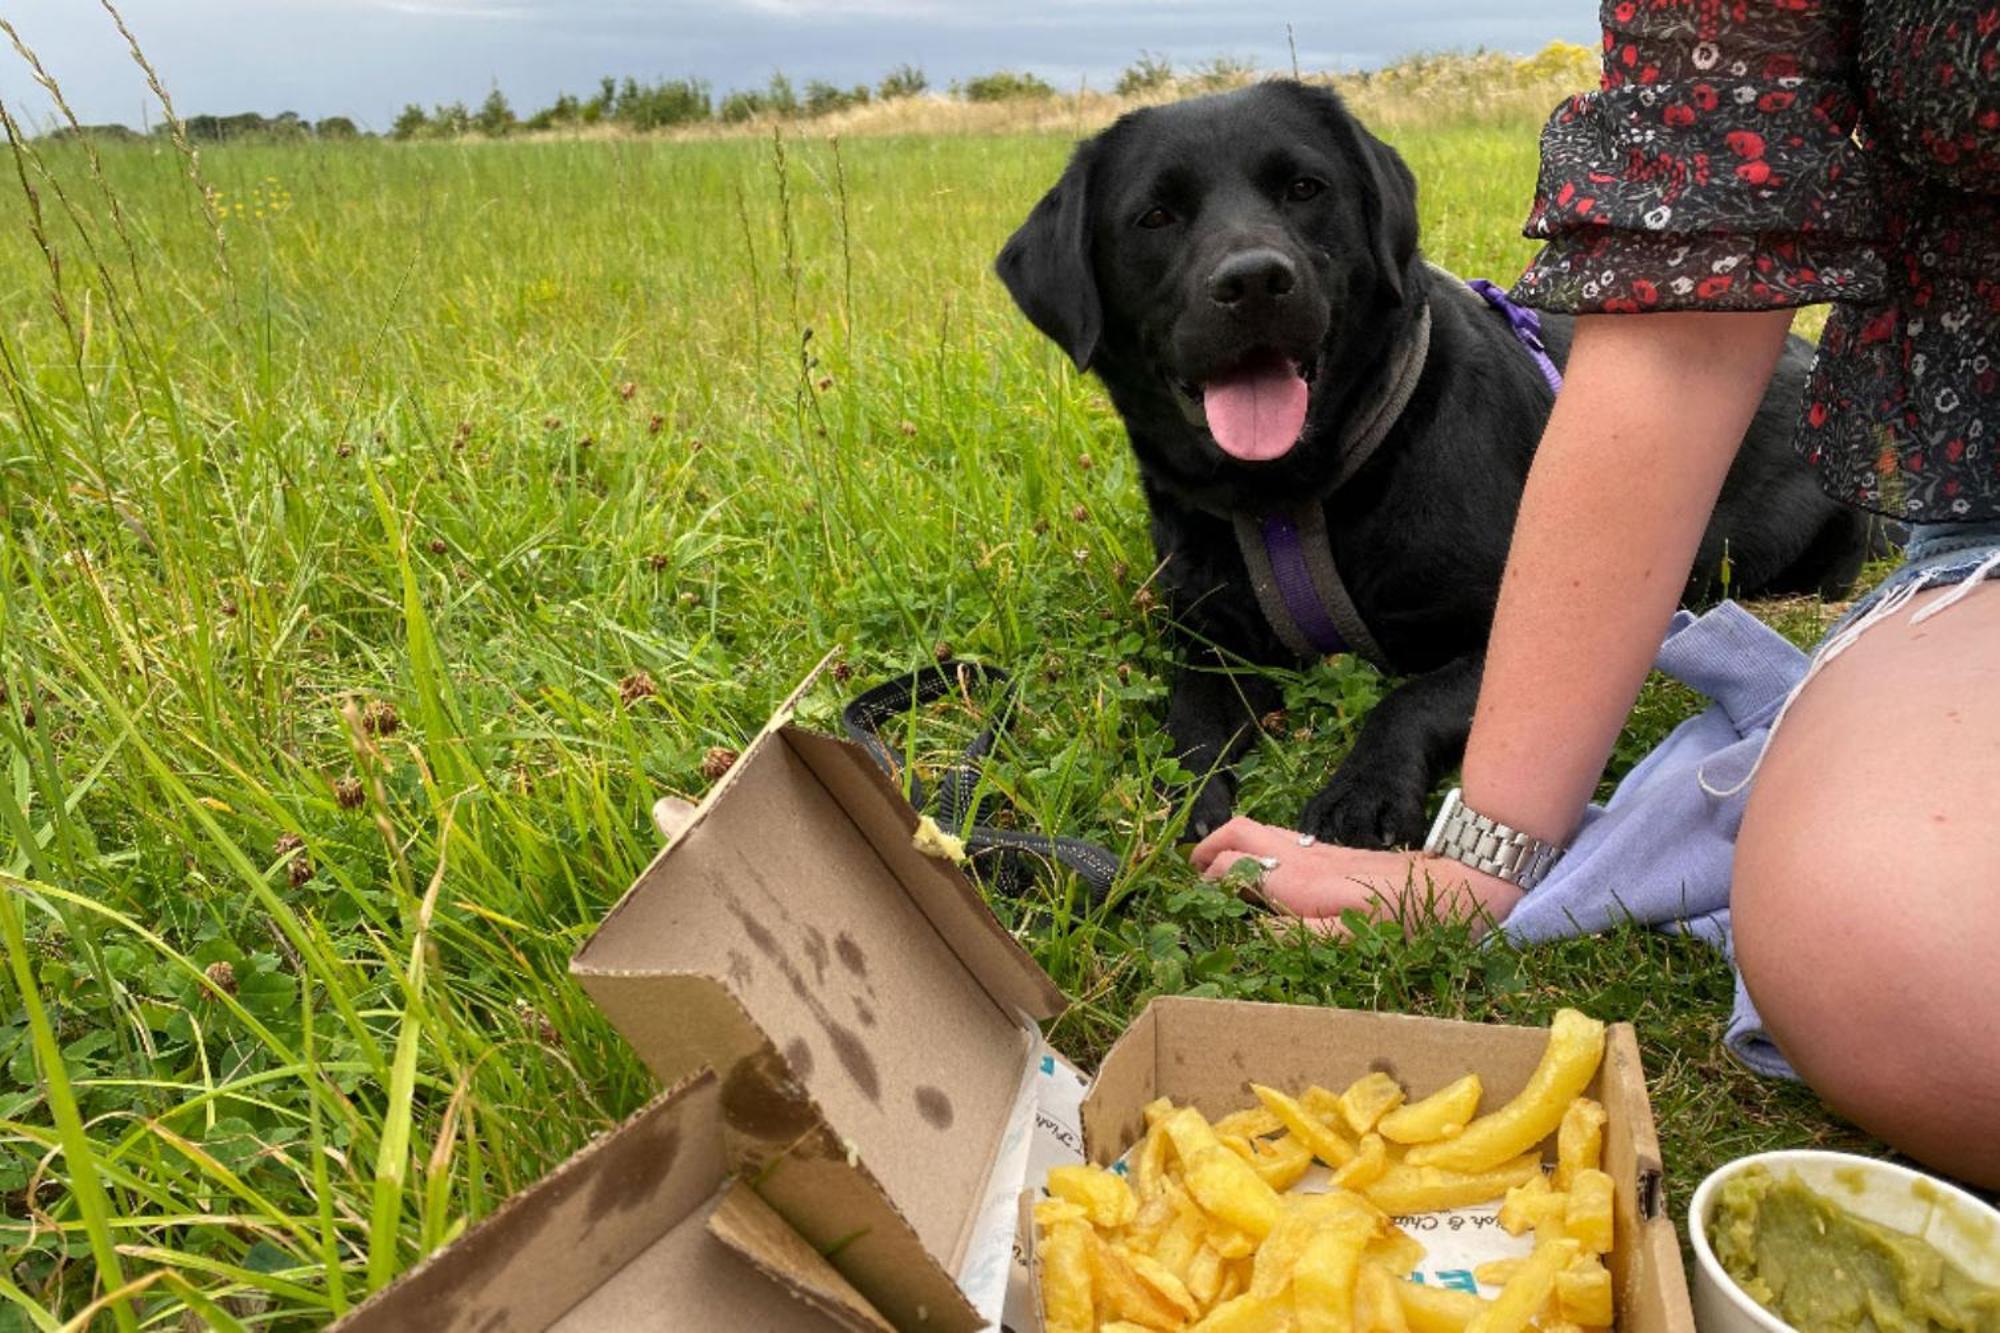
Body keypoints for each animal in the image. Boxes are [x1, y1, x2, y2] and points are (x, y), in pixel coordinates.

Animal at [992, 83, 1880, 844]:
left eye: (1305, 187)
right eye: (1156, 215)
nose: (1253, 281)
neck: (1294, 497)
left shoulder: (1511, 625)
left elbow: (1414, 695)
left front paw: (1363, 790)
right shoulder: (1209, 640)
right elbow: (1191, 718)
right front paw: (1190, 797)